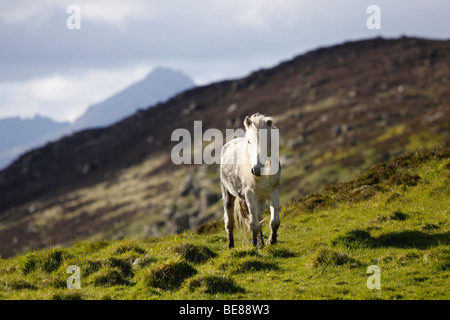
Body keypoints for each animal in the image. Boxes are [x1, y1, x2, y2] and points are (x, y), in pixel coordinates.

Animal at [219, 113, 280, 250]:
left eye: (267, 140)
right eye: (249, 141)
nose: (255, 170)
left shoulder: (273, 193)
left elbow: (274, 221)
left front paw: (271, 241)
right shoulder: (250, 195)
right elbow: (253, 224)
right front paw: (255, 246)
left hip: (260, 199)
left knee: (259, 218)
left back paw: (261, 243)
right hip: (228, 195)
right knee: (229, 222)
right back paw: (230, 246)